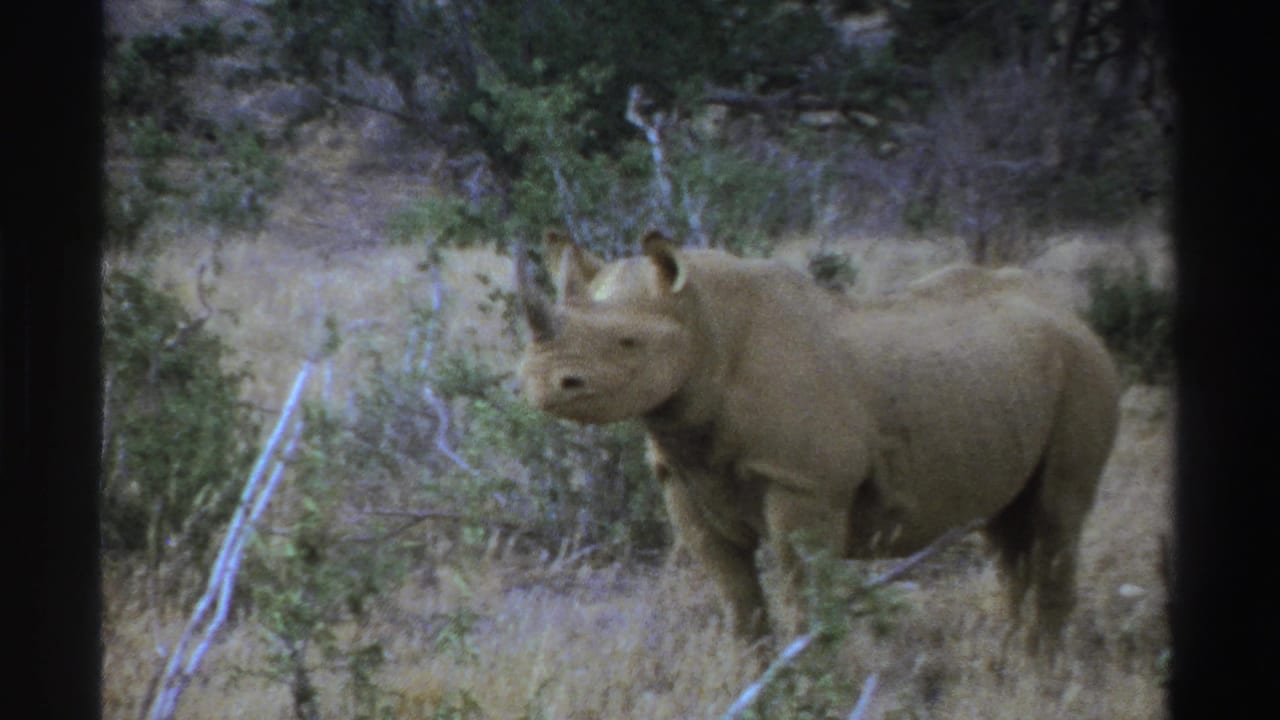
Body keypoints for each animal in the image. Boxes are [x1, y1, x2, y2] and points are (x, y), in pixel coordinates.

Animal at [516, 230, 1120, 652]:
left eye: (628, 342)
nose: (543, 384)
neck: (705, 325)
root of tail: (1071, 314)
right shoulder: (683, 476)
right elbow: (737, 600)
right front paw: (755, 679)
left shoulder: (803, 483)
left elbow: (803, 593)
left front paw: (809, 685)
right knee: (1005, 532)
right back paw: (1004, 662)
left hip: (1085, 369)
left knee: (1058, 516)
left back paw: (1042, 675)